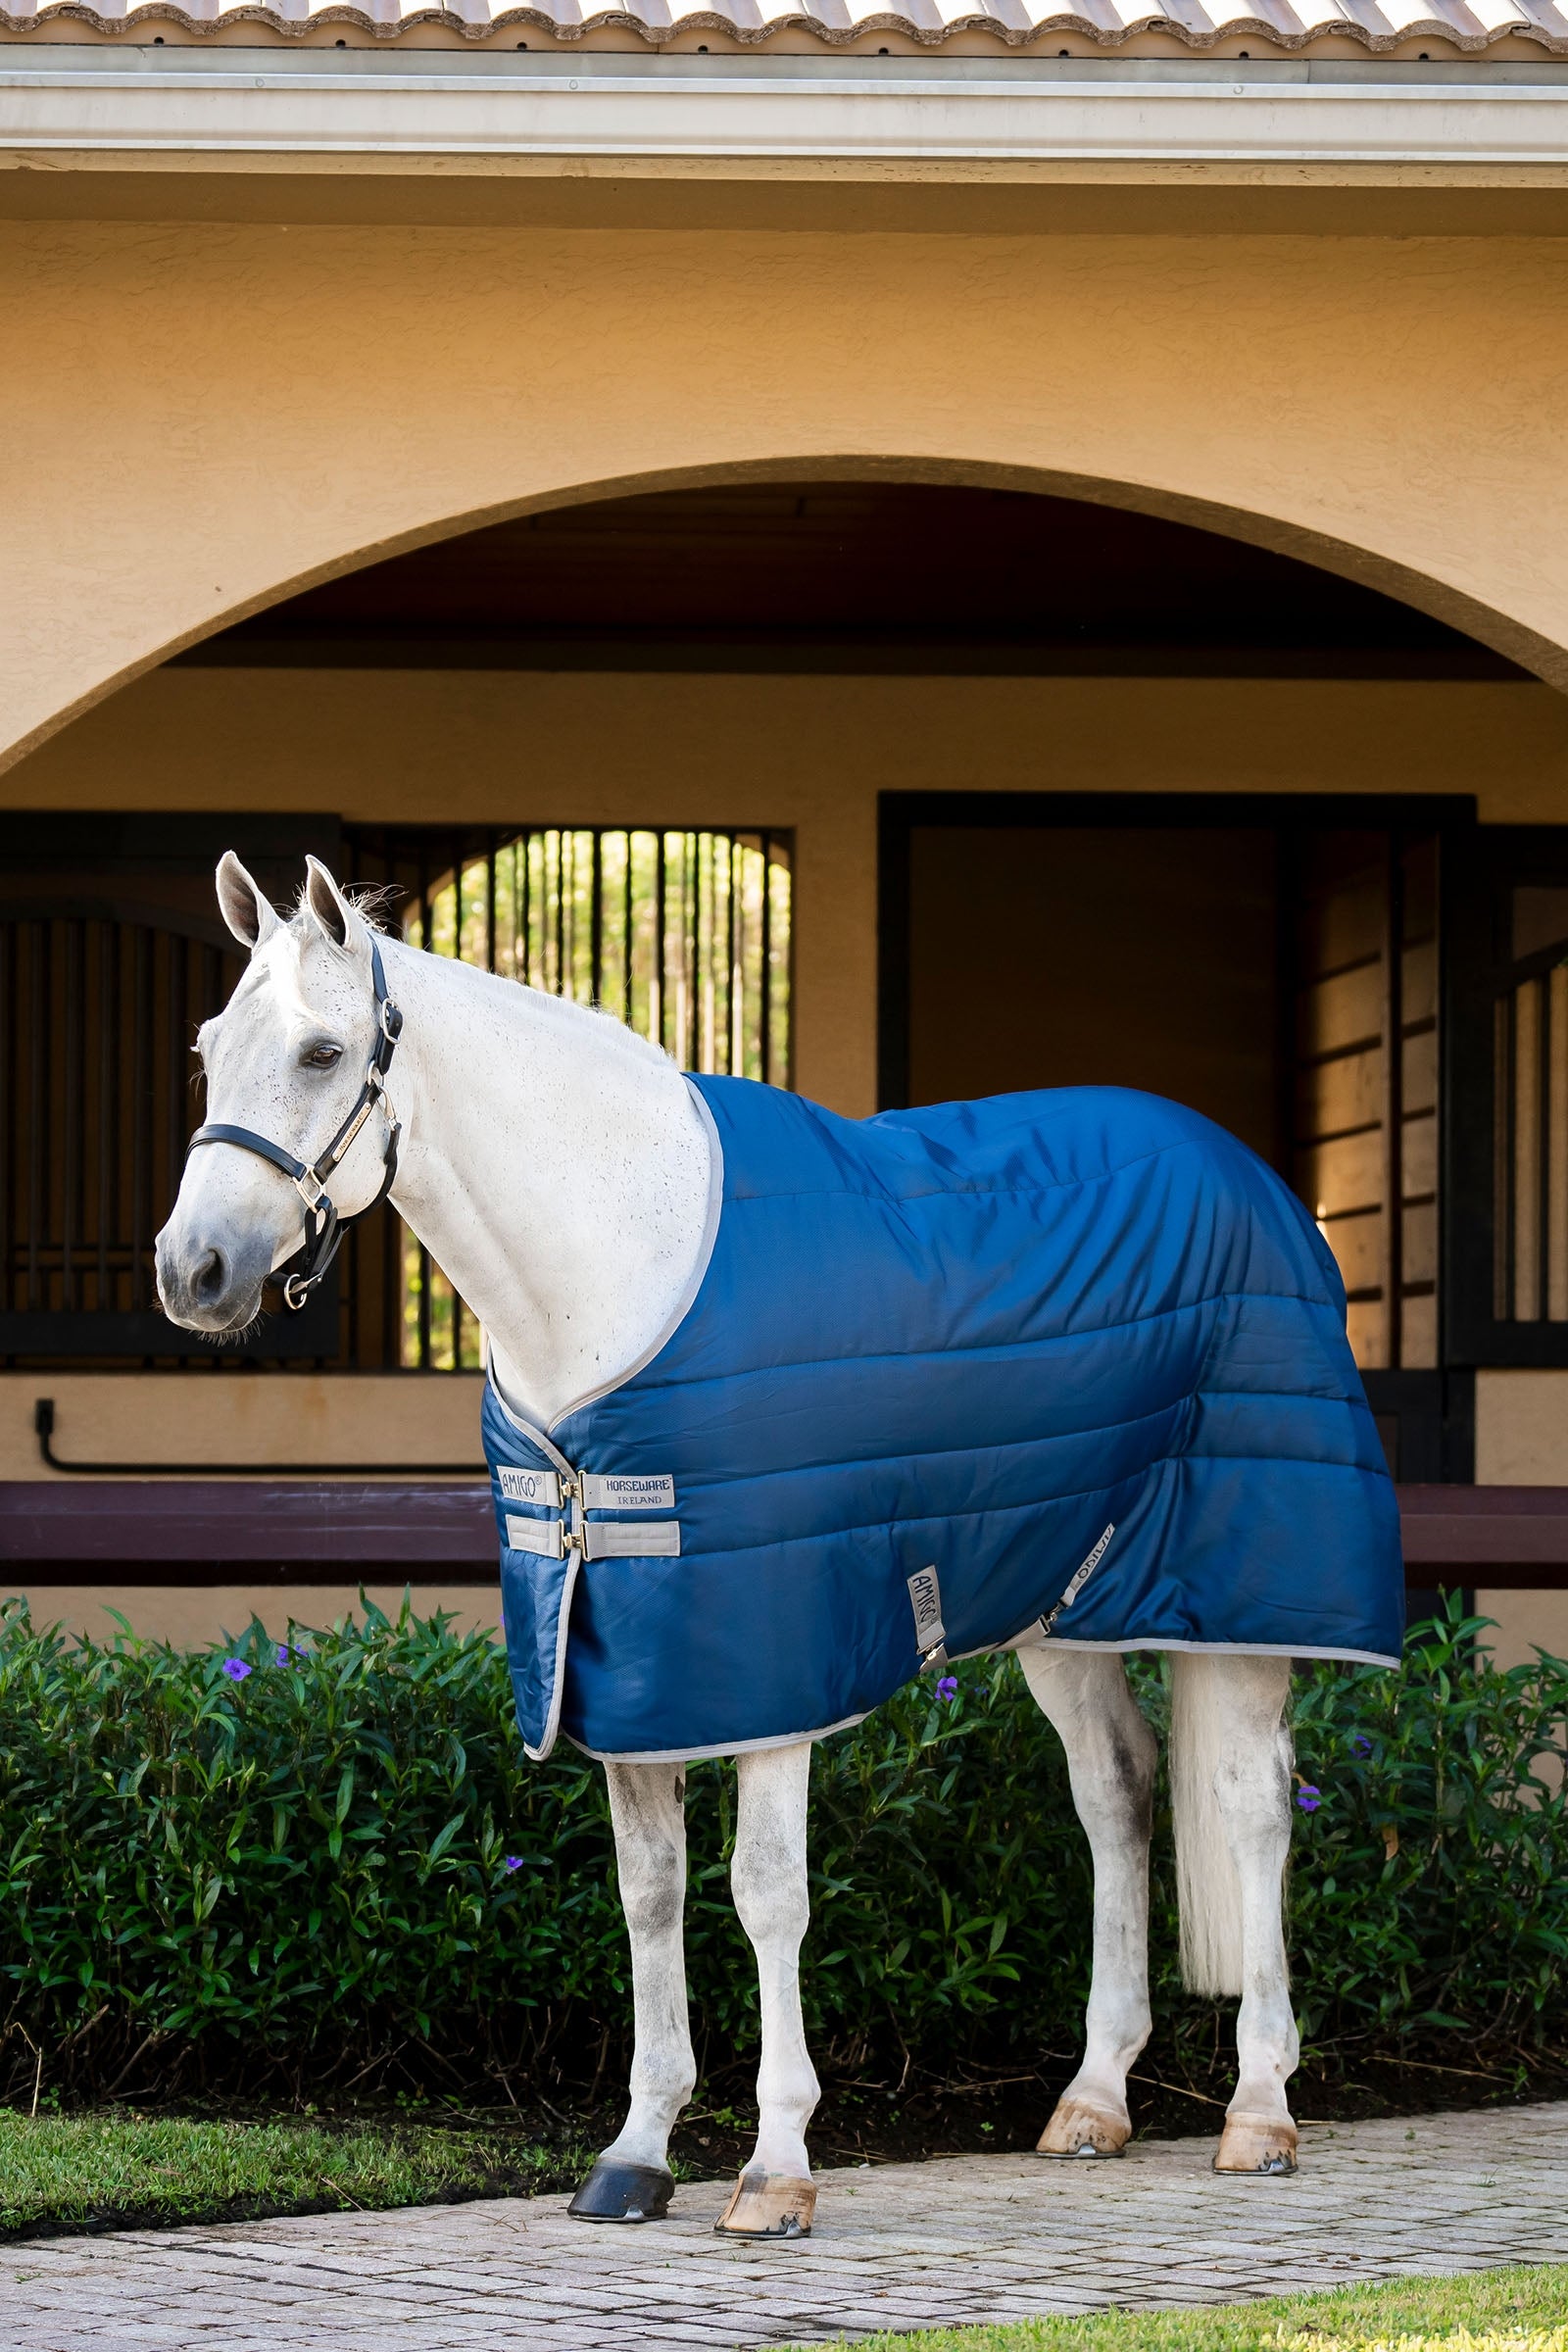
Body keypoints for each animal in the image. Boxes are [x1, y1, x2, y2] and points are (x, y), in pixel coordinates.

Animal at [156, 853, 1403, 2238]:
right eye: (211, 1049)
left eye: (322, 1052)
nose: (191, 1270)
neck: (620, 1263)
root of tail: (1253, 1176)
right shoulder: (619, 1656)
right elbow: (649, 1889)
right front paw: (636, 2153)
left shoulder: (772, 1661)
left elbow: (764, 1891)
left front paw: (775, 2168)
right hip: (1063, 1601)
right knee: (1117, 1792)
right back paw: (1092, 2100)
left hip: (1239, 1597)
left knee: (1251, 1807)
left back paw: (1260, 2111)